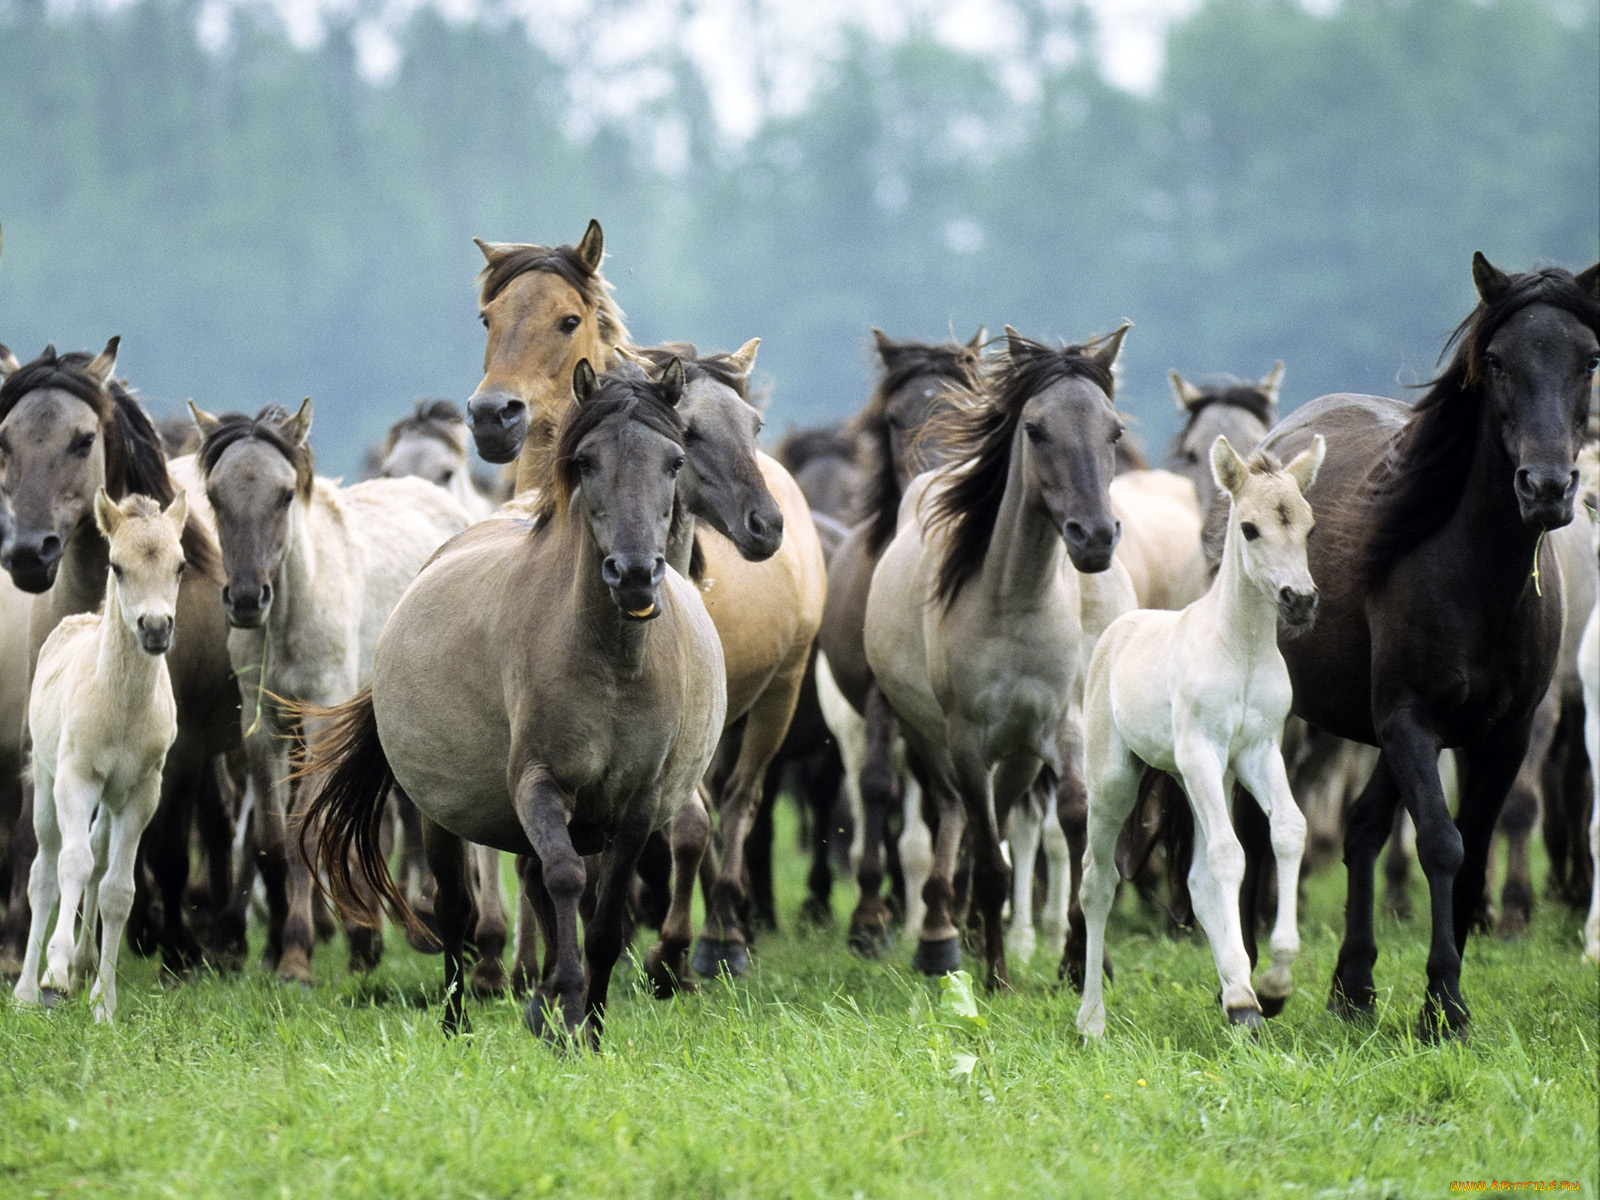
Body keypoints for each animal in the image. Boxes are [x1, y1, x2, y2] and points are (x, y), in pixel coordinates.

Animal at [190, 400, 470, 979]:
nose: (246, 599)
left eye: (284, 494)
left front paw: (297, 956)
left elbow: (308, 830)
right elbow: (271, 839)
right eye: (215, 495)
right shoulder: (262, 726)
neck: (295, 606)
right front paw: (279, 947)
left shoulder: (322, 717)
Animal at [870, 324, 1132, 992]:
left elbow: (1075, 820)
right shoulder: (966, 740)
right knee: (959, 819)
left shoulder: (1058, 725)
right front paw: (996, 979)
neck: (1016, 603)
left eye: (1114, 431)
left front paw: (1078, 959)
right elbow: (989, 859)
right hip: (935, 742)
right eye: (1035, 429)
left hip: (1017, 756)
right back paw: (948, 940)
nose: (1094, 538)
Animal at [1075, 438, 1324, 1036]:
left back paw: (1239, 994)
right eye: (1250, 528)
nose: (1299, 599)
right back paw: (1091, 1020)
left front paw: (1270, 985)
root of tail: (1120, 628)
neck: (1242, 650)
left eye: (1308, 527)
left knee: (1195, 880)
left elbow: (1288, 831)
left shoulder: (1256, 753)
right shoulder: (1202, 753)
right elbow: (1229, 856)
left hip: (1194, 779)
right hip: (1117, 781)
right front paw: (1250, 991)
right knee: (1097, 882)